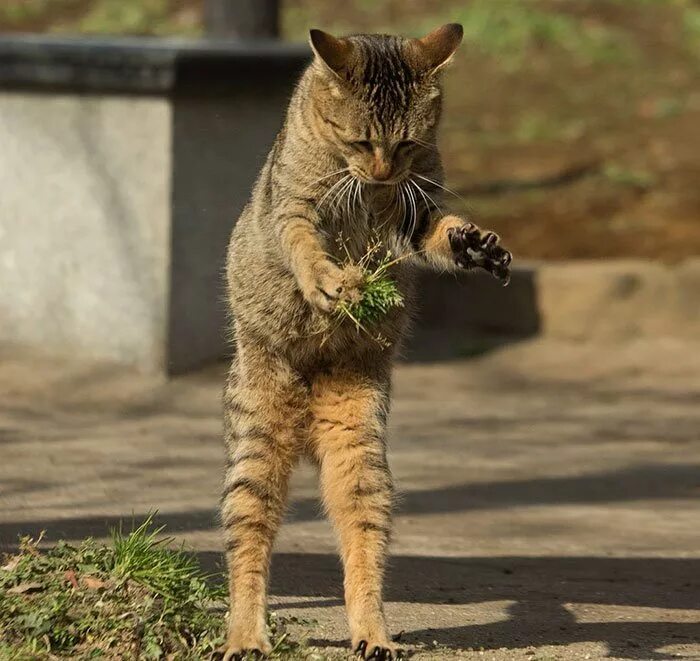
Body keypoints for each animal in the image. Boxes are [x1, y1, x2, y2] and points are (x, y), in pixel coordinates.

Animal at [221, 24, 512, 660]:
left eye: (405, 145)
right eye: (358, 139)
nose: (380, 173)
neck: (369, 190)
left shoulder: (419, 203)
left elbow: (442, 230)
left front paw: (473, 244)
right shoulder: (295, 203)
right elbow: (304, 242)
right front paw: (328, 281)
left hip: (362, 458)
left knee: (361, 547)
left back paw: (372, 634)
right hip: (255, 452)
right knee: (248, 548)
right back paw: (246, 635)